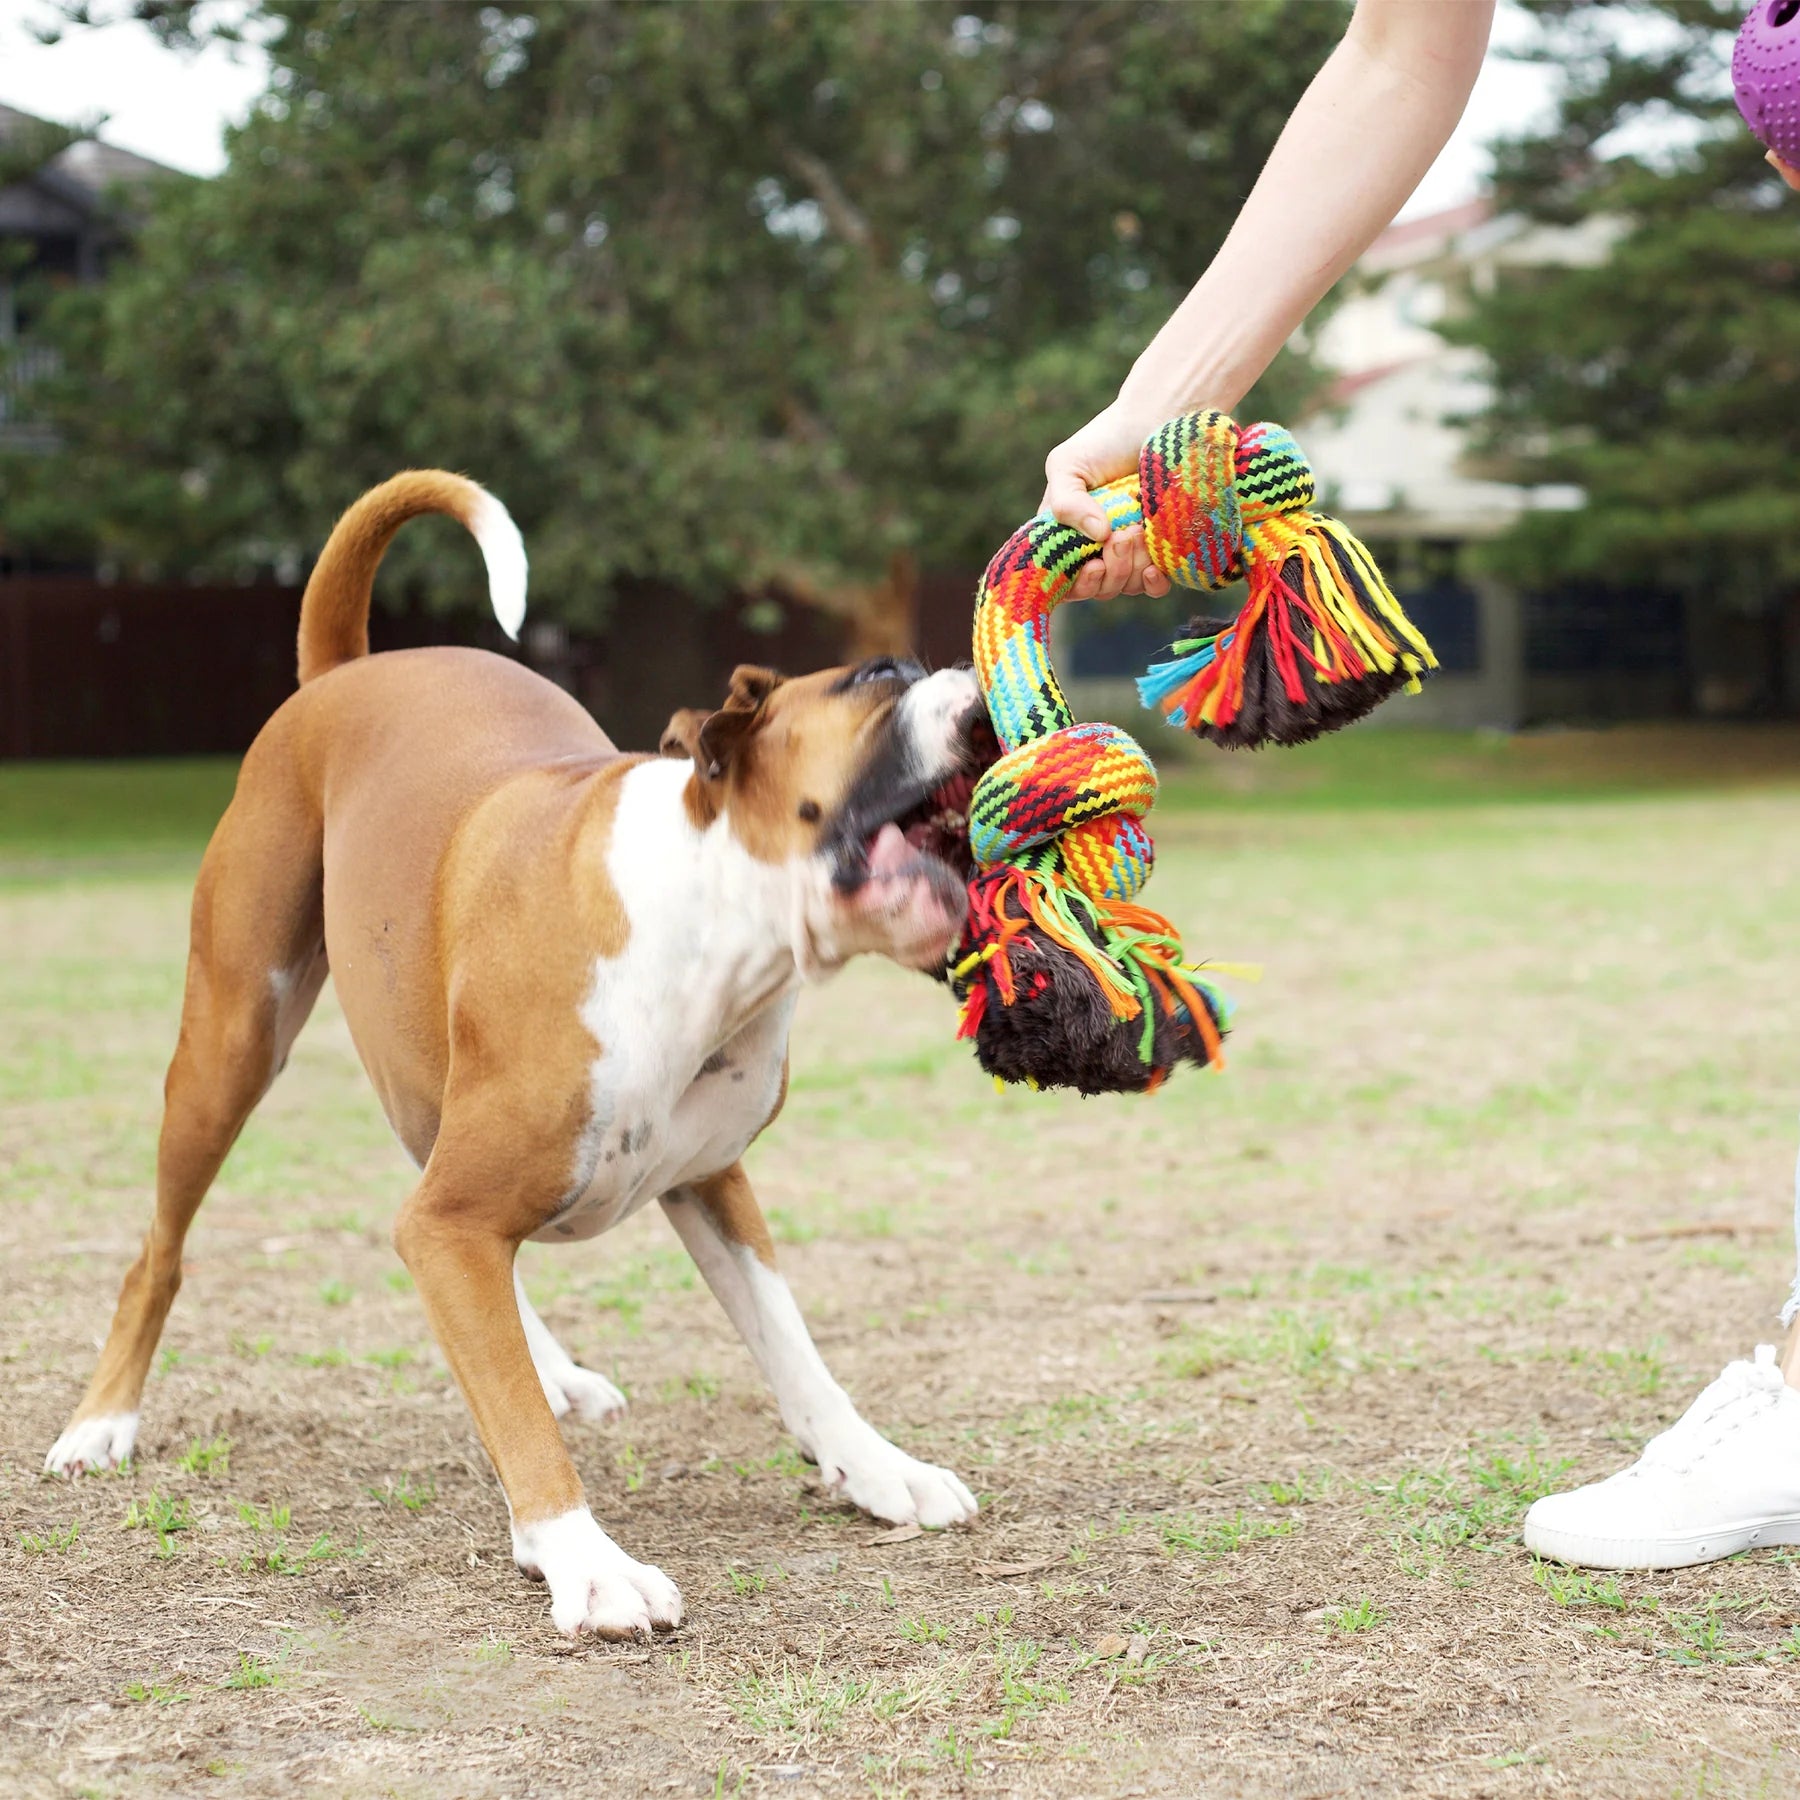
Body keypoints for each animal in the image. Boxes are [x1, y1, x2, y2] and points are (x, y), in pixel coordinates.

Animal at [45, 475, 1000, 1648]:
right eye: (876, 679)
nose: (990, 699)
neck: (713, 929)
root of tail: (346, 672)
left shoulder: (709, 1182)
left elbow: (792, 1346)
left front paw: (875, 1468)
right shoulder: (457, 1217)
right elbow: (509, 1404)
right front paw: (585, 1561)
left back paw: (548, 1367)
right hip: (231, 1044)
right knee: (161, 1250)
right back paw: (103, 1423)